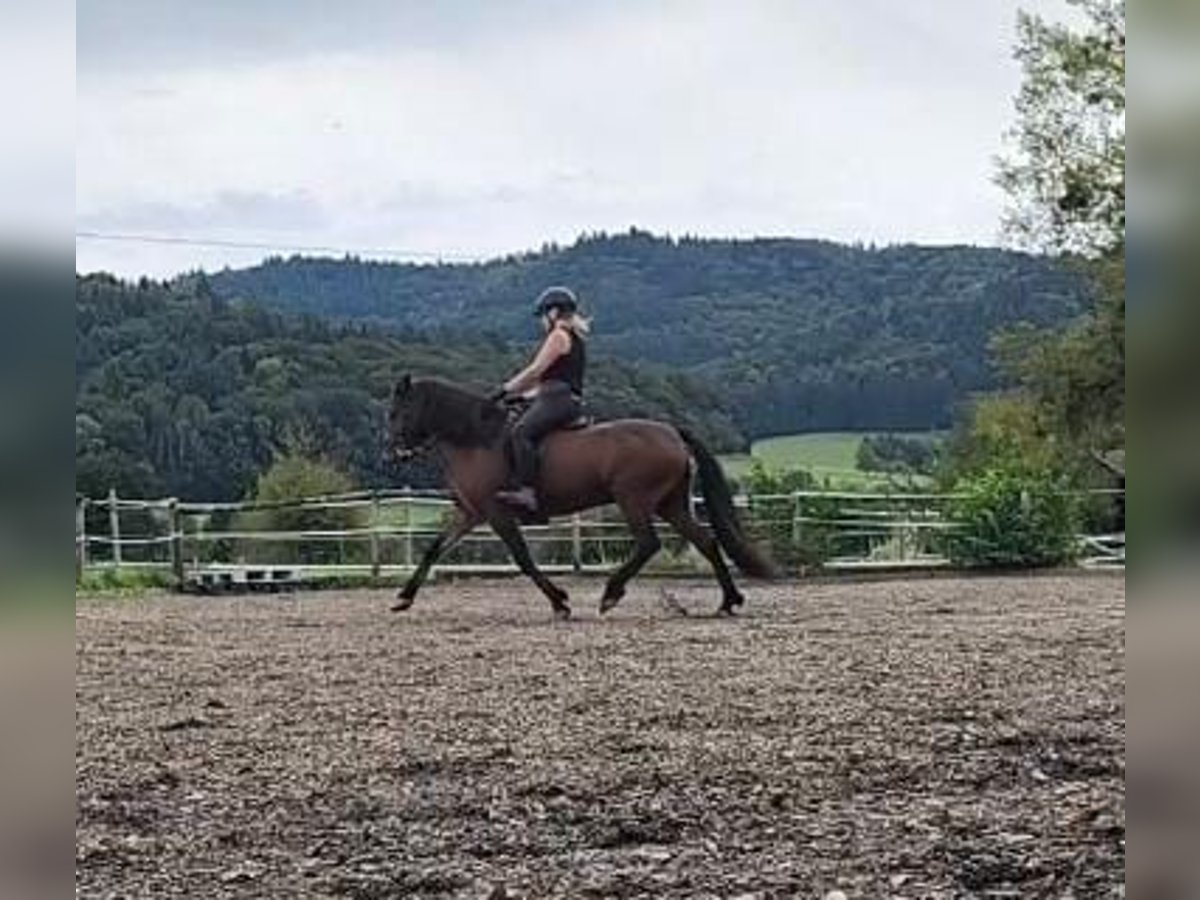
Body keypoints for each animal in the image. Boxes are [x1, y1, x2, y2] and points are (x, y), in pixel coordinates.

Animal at [386, 374, 777, 619]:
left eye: (398, 412)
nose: (391, 454)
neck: (477, 439)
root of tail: (671, 432)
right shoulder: (471, 513)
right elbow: (434, 549)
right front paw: (404, 597)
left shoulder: (497, 513)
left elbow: (523, 559)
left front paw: (560, 602)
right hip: (671, 504)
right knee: (706, 541)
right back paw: (728, 601)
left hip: (633, 499)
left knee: (649, 544)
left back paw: (611, 593)